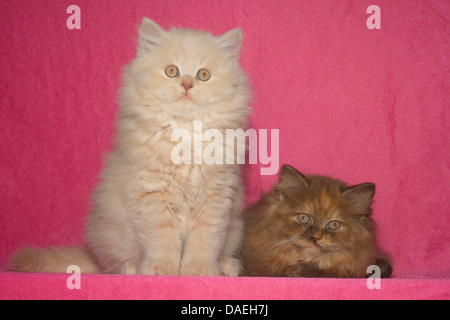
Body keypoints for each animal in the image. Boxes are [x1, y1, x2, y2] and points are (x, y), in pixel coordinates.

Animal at [10, 18, 251, 276]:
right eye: (172, 71)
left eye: (203, 75)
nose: (187, 84)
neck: (185, 134)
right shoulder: (152, 195)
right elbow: (162, 241)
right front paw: (162, 268)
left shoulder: (217, 199)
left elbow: (205, 241)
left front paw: (200, 269)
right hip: (111, 234)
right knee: (113, 264)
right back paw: (132, 268)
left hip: (235, 229)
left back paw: (227, 265)